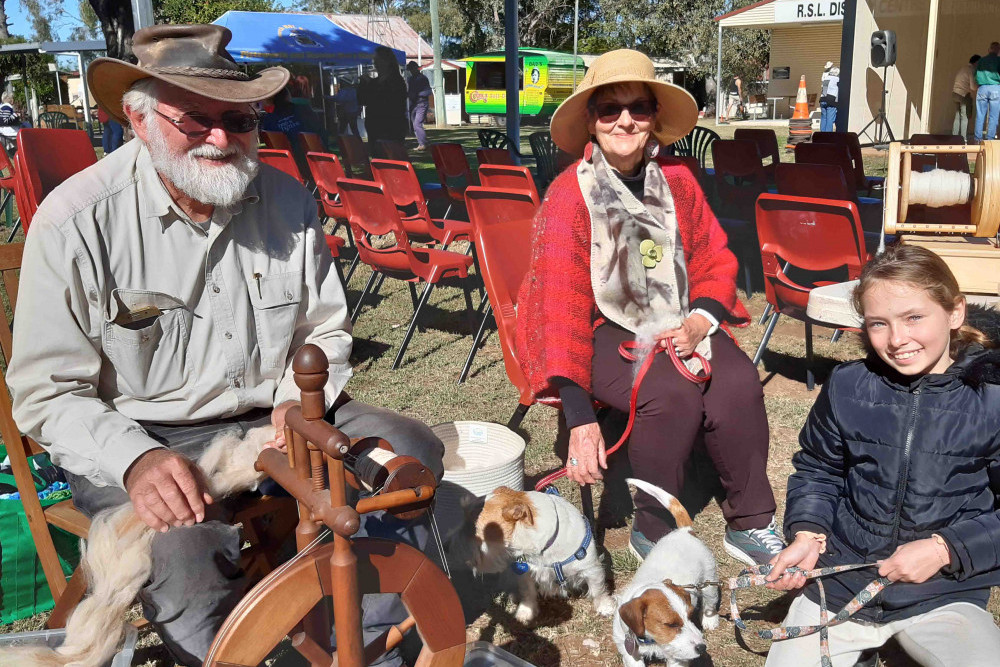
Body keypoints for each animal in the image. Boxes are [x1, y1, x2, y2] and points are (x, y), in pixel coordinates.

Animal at [470, 486, 616, 620]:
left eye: (477, 532)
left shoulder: (590, 568)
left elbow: (597, 589)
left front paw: (605, 607)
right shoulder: (526, 572)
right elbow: (527, 592)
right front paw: (526, 611)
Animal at [612, 480, 724, 667]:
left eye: (690, 616)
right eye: (671, 624)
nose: (702, 647)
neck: (651, 641)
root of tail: (685, 532)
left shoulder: (678, 659)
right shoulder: (630, 652)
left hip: (709, 580)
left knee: (710, 602)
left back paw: (710, 620)